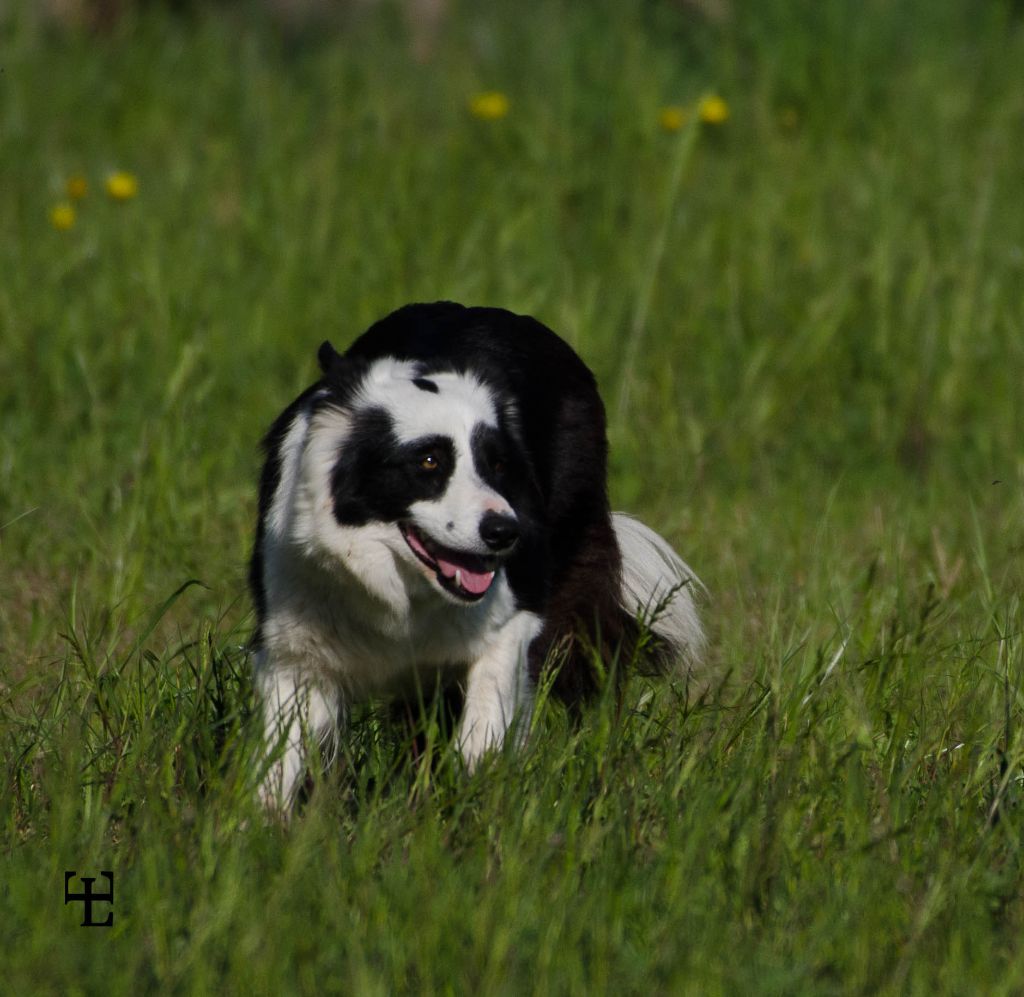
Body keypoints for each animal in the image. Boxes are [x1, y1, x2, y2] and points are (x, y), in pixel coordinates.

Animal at [251, 302, 708, 810]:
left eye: (499, 464)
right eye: (429, 461)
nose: (506, 532)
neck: (400, 591)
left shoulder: (513, 618)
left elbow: (482, 732)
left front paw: (476, 799)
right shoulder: (294, 648)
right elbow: (277, 767)